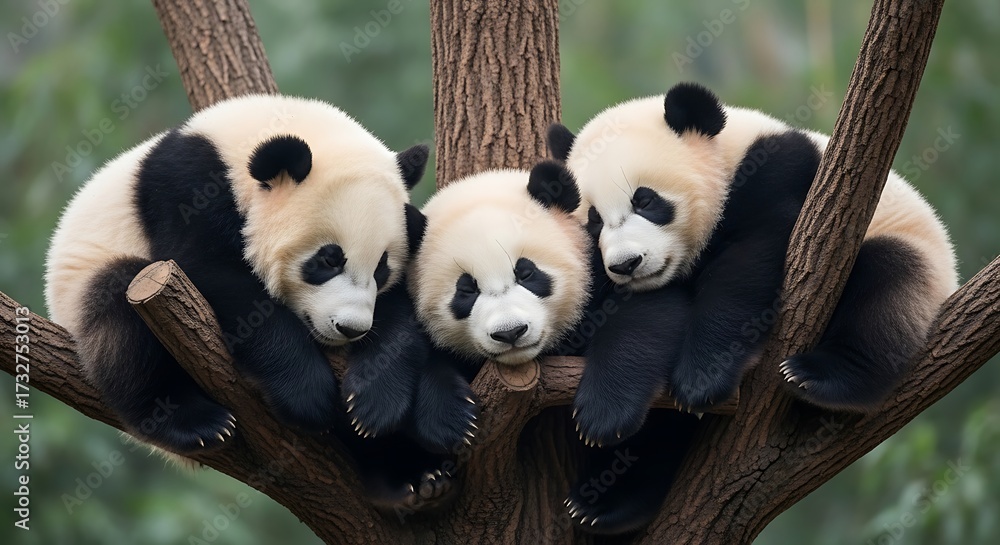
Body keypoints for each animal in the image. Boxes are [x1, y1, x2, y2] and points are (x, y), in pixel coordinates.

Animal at [44, 94, 433, 467]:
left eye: (381, 268)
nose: (351, 328)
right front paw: (308, 396)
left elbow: (400, 312)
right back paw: (192, 422)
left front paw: (375, 402)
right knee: (120, 323)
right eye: (328, 259)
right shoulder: (187, 187)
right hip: (93, 287)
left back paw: (407, 470)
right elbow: (217, 275)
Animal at [546, 82, 959, 532]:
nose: (626, 264)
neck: (729, 156)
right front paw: (605, 416)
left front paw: (702, 379)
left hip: (911, 256)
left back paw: (823, 376)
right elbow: (632, 320)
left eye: (645, 200)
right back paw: (610, 503)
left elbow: (748, 265)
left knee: (886, 290)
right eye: (594, 220)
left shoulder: (777, 176)